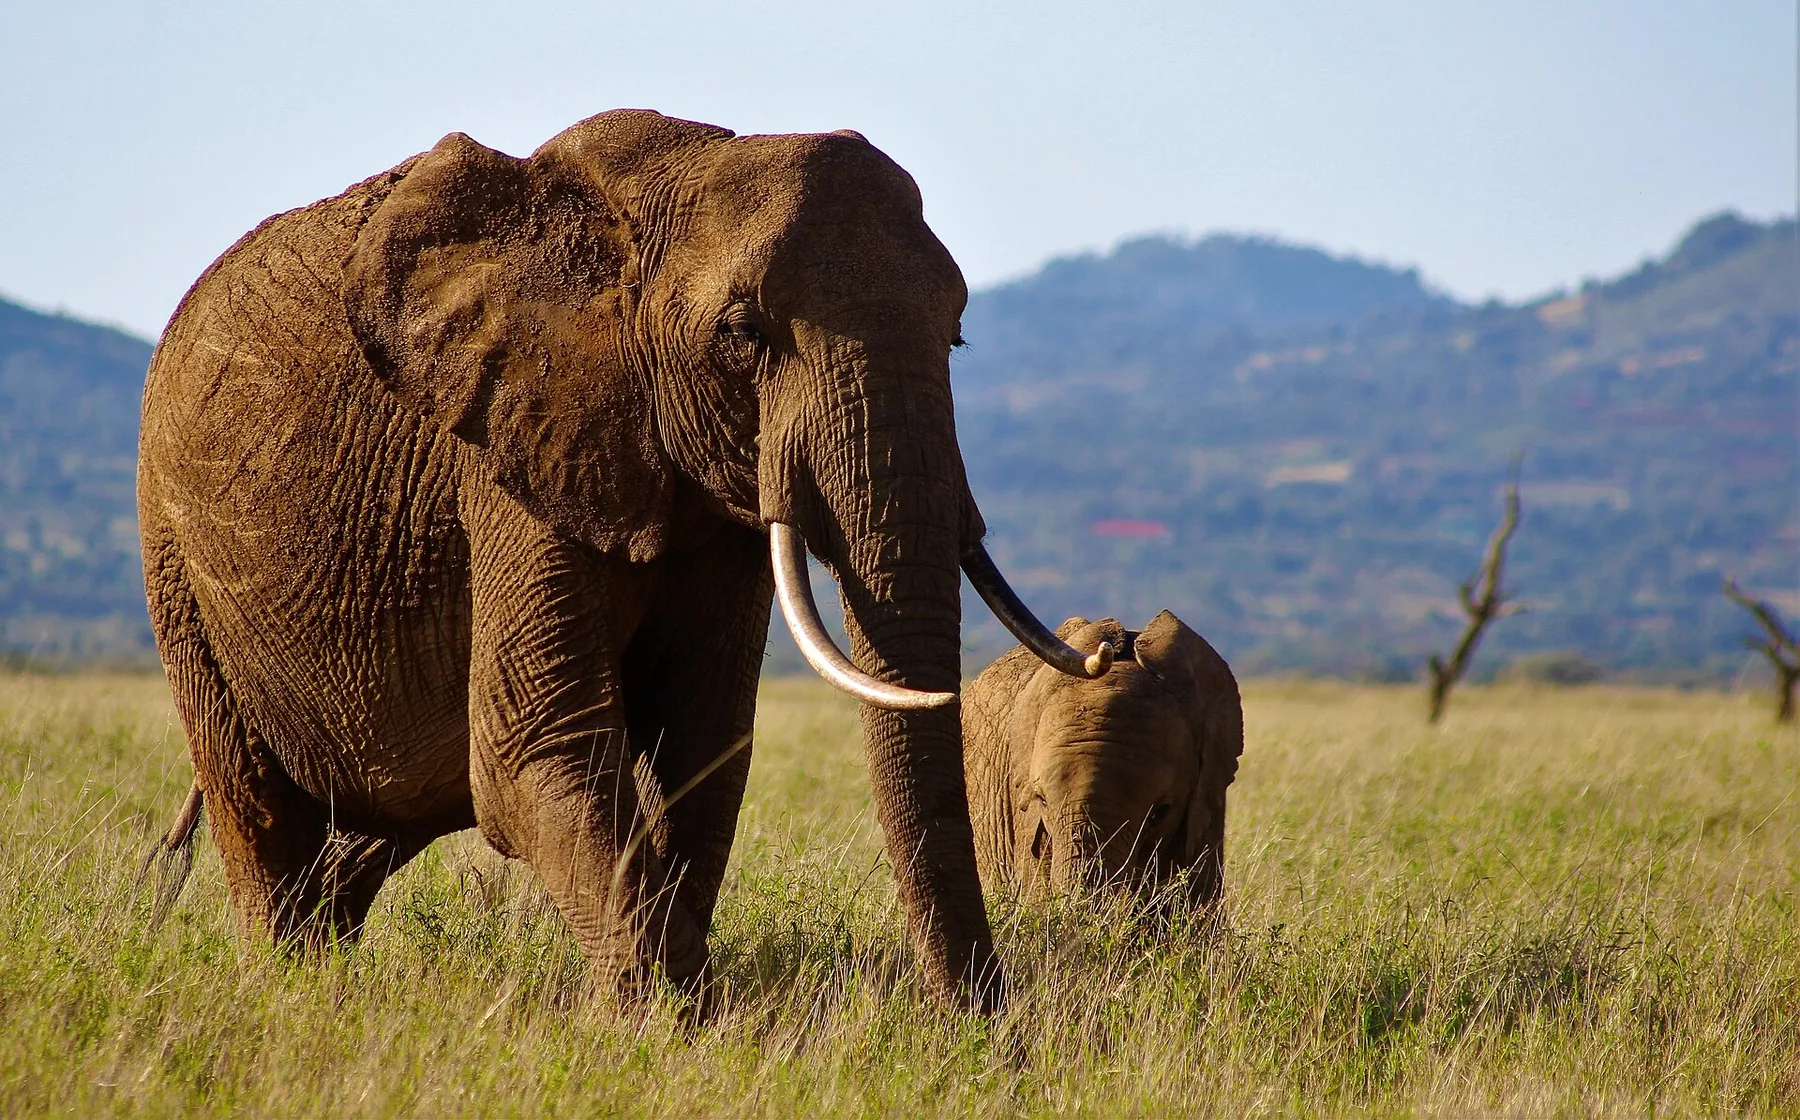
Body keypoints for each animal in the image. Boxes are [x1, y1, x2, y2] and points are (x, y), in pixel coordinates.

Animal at [135, 110, 1115, 1011]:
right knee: (259, 806)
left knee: (378, 820)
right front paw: (677, 1031)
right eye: (744, 335)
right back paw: (288, 993)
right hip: (174, 552)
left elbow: (705, 745)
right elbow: (535, 745)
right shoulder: (513, 448)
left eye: (955, 338)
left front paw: (687, 1012)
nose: (986, 1033)